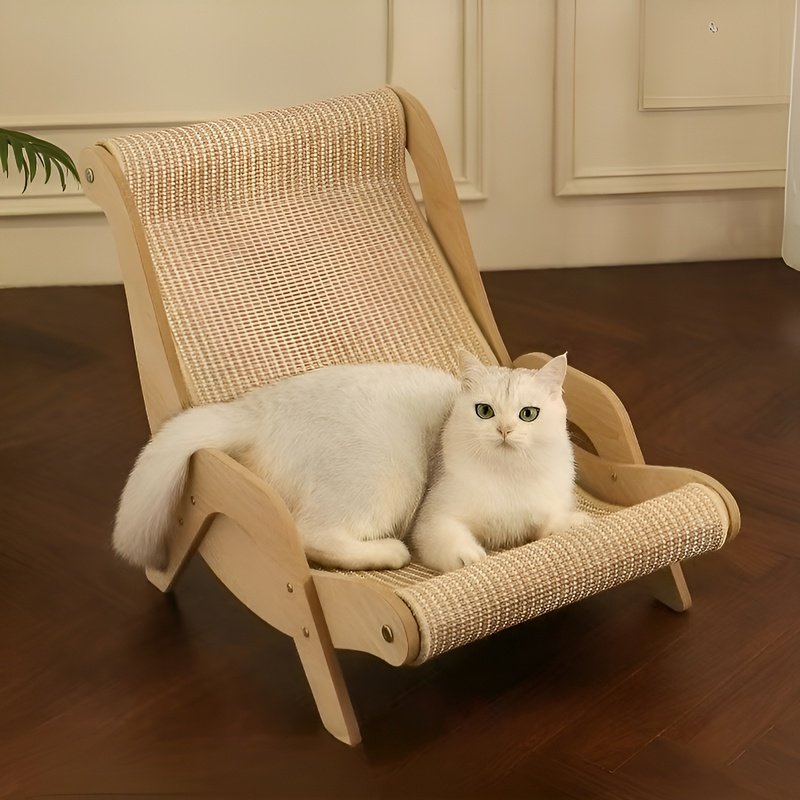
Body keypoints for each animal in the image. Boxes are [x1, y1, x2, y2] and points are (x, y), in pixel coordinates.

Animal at [112, 352, 588, 574]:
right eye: (484, 411)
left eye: (528, 414)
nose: (504, 430)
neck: (509, 478)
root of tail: (253, 407)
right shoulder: (434, 519)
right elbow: (455, 544)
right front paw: (471, 557)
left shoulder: (552, 502)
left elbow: (556, 521)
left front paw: (575, 523)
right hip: (390, 475)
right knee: (309, 535)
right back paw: (388, 553)